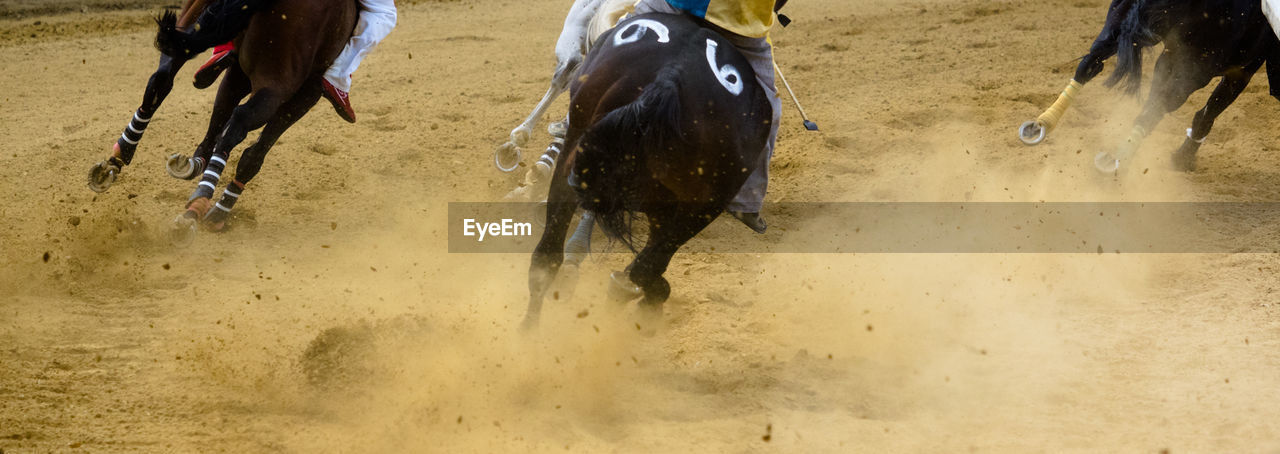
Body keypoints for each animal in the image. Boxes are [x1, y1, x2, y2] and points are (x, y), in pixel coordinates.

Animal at [86, 0, 355, 245]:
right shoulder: (307, 90)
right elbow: (254, 153)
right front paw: (217, 209)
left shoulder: (238, 67)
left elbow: (220, 114)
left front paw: (194, 163)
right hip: (279, 80)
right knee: (239, 123)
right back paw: (200, 206)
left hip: (193, 17)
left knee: (162, 79)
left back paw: (117, 158)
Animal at [519, 13, 768, 327]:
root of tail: (670, 75)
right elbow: (649, 267)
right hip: (705, 203)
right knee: (645, 265)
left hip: (575, 151)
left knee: (547, 256)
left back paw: (529, 330)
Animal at [1018, 0, 1280, 172]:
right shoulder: (1240, 70)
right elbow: (1207, 113)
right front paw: (1183, 159)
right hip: (1197, 66)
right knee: (1158, 106)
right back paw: (1114, 162)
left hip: (1121, 16)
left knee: (1091, 62)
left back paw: (1040, 124)